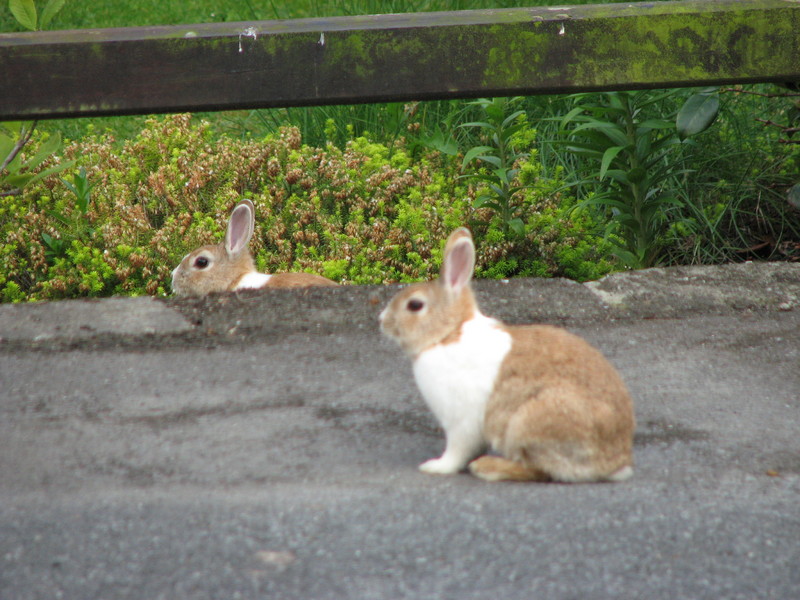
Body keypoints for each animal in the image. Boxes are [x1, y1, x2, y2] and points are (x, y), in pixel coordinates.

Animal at [378, 226, 636, 482]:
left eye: (414, 305)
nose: (382, 320)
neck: (447, 334)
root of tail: (613, 462)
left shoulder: (462, 423)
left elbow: (456, 451)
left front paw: (435, 467)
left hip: (528, 422)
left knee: (539, 470)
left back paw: (487, 467)